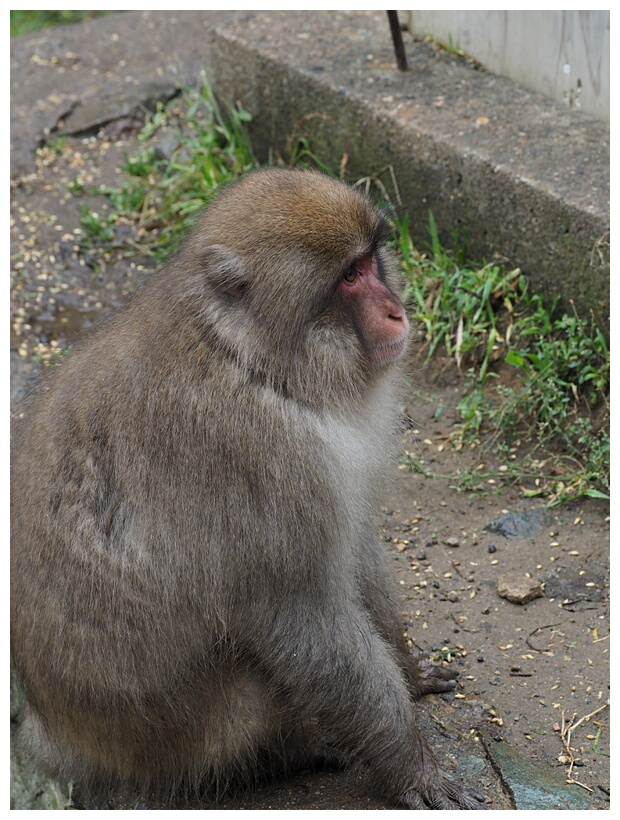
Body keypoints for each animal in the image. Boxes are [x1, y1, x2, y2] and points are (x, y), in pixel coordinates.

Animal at [10, 167, 484, 808]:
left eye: (370, 260)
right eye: (348, 278)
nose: (395, 312)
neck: (257, 364)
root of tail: (52, 728)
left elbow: (356, 546)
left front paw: (409, 670)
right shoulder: (263, 462)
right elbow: (304, 621)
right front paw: (413, 766)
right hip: (178, 732)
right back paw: (304, 748)